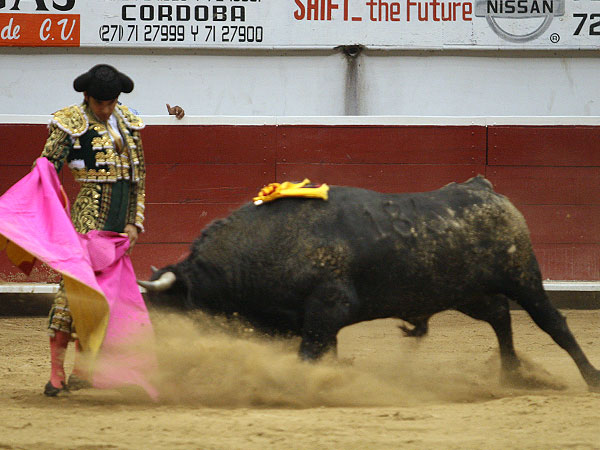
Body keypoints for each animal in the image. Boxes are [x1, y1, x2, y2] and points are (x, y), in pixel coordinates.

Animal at [139, 176, 600, 390]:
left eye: (168, 313)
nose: (156, 358)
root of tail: (483, 188)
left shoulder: (327, 309)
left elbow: (310, 354)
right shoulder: (305, 320)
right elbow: (322, 352)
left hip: (524, 276)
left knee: (552, 324)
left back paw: (590, 377)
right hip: (466, 292)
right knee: (501, 316)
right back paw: (510, 374)